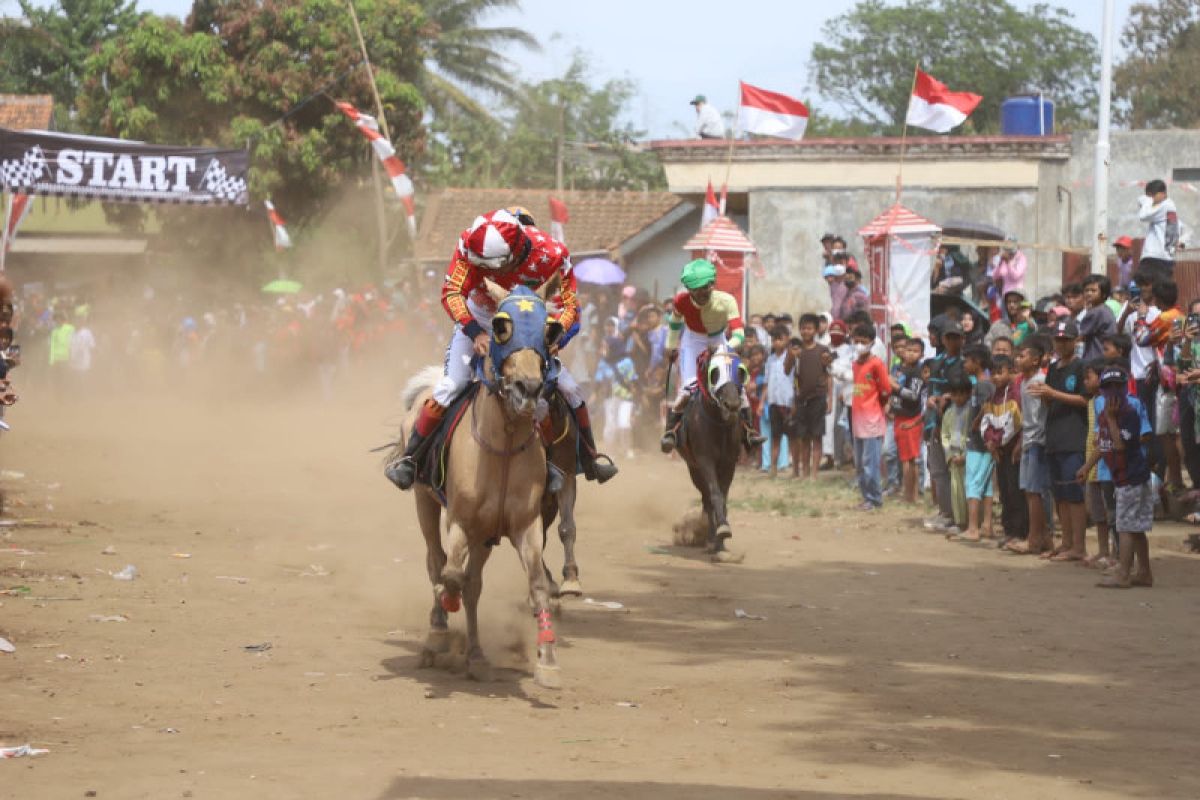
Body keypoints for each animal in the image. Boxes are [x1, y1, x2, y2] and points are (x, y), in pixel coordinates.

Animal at [398, 277, 556, 690]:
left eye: (549, 330)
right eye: (500, 327)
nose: (528, 388)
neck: (502, 448)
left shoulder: (525, 526)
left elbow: (537, 586)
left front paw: (547, 661)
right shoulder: (460, 521)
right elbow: (451, 574)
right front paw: (442, 622)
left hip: (486, 534)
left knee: (472, 585)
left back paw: (476, 655)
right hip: (424, 501)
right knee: (436, 562)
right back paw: (437, 635)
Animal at [672, 345, 744, 563]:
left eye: (740, 371)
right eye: (715, 372)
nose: (732, 404)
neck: (718, 424)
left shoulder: (729, 463)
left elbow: (723, 497)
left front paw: (722, 542)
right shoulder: (705, 461)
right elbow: (715, 495)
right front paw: (720, 532)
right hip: (693, 468)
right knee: (706, 497)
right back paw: (709, 537)